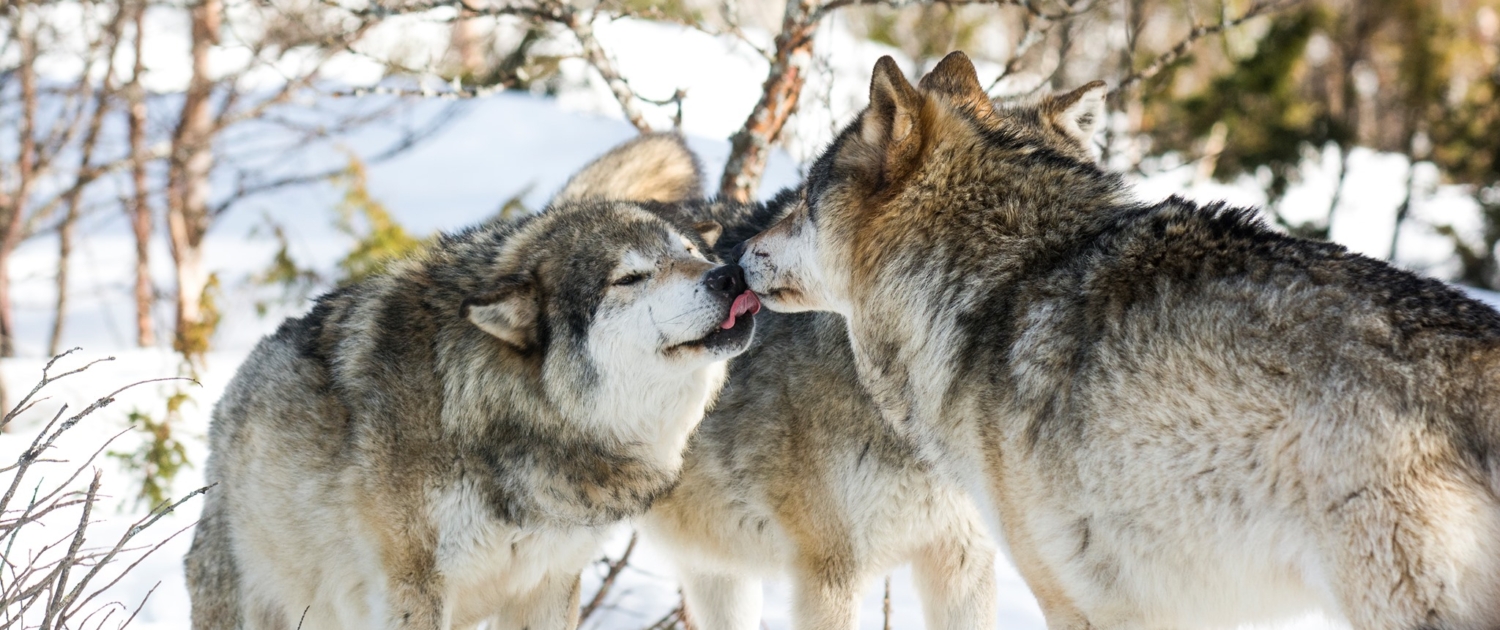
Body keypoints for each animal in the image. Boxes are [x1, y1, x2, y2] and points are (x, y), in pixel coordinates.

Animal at [183, 134, 762, 630]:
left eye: (689, 253)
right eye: (631, 278)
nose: (729, 275)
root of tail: (227, 405)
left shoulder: (549, 581)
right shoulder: (414, 586)